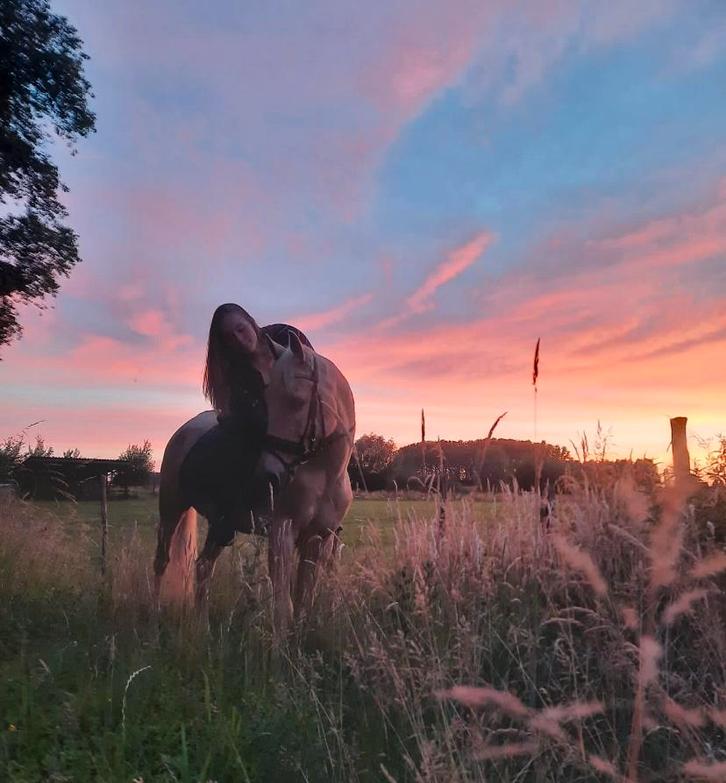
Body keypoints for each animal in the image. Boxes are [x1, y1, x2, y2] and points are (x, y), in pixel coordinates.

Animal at [153, 332, 355, 631]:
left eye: (297, 400)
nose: (268, 476)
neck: (323, 475)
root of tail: (183, 432)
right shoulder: (282, 532)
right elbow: (284, 606)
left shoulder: (318, 538)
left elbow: (304, 600)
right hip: (171, 510)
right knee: (162, 561)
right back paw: (154, 614)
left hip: (221, 525)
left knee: (202, 567)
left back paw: (202, 627)